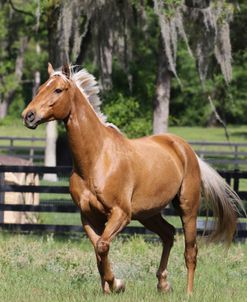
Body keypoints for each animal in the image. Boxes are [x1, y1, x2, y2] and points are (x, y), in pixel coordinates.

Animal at [22, 63, 242, 294]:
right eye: (40, 89)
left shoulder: (121, 213)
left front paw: (117, 284)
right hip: (148, 214)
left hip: (187, 208)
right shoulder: (88, 216)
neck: (96, 159)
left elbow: (102, 246)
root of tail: (184, 148)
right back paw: (163, 283)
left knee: (190, 250)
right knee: (168, 234)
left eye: (58, 90)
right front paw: (108, 289)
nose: (28, 115)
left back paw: (188, 292)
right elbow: (98, 250)